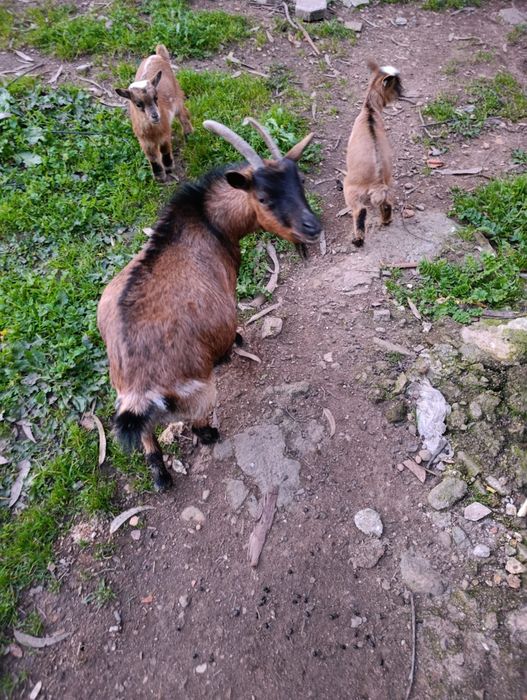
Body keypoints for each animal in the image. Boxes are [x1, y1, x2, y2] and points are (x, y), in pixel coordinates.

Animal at [97, 118, 321, 491]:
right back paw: (211, 433)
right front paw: (236, 343)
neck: (208, 220)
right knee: (198, 425)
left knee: (148, 440)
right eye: (263, 197)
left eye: (299, 182)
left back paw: (161, 477)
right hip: (201, 391)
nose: (312, 228)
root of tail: (140, 390)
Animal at [116, 44, 193, 183]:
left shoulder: (165, 133)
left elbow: (165, 150)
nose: (155, 116)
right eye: (138, 104)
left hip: (177, 96)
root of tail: (158, 55)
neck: (153, 132)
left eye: (156, 98)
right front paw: (159, 176)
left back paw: (189, 134)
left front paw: (169, 168)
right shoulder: (144, 141)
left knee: (184, 114)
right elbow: (152, 158)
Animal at [343, 61, 402, 246]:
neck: (369, 111)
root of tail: (376, 180)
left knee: (360, 210)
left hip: (351, 188)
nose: (401, 93)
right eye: (397, 85)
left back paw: (358, 240)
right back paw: (386, 221)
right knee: (387, 204)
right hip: (388, 184)